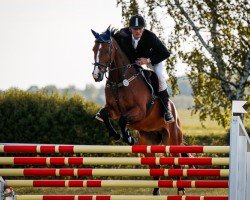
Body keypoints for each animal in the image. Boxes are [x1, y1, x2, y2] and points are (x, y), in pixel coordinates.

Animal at [91, 26, 187, 195]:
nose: (97, 75)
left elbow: (123, 120)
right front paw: (116, 135)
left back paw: (181, 191)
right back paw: (156, 192)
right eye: (93, 49)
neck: (119, 80)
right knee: (155, 166)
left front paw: (127, 137)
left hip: (173, 140)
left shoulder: (140, 111)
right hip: (148, 143)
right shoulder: (113, 110)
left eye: (106, 50)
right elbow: (105, 114)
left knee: (177, 164)